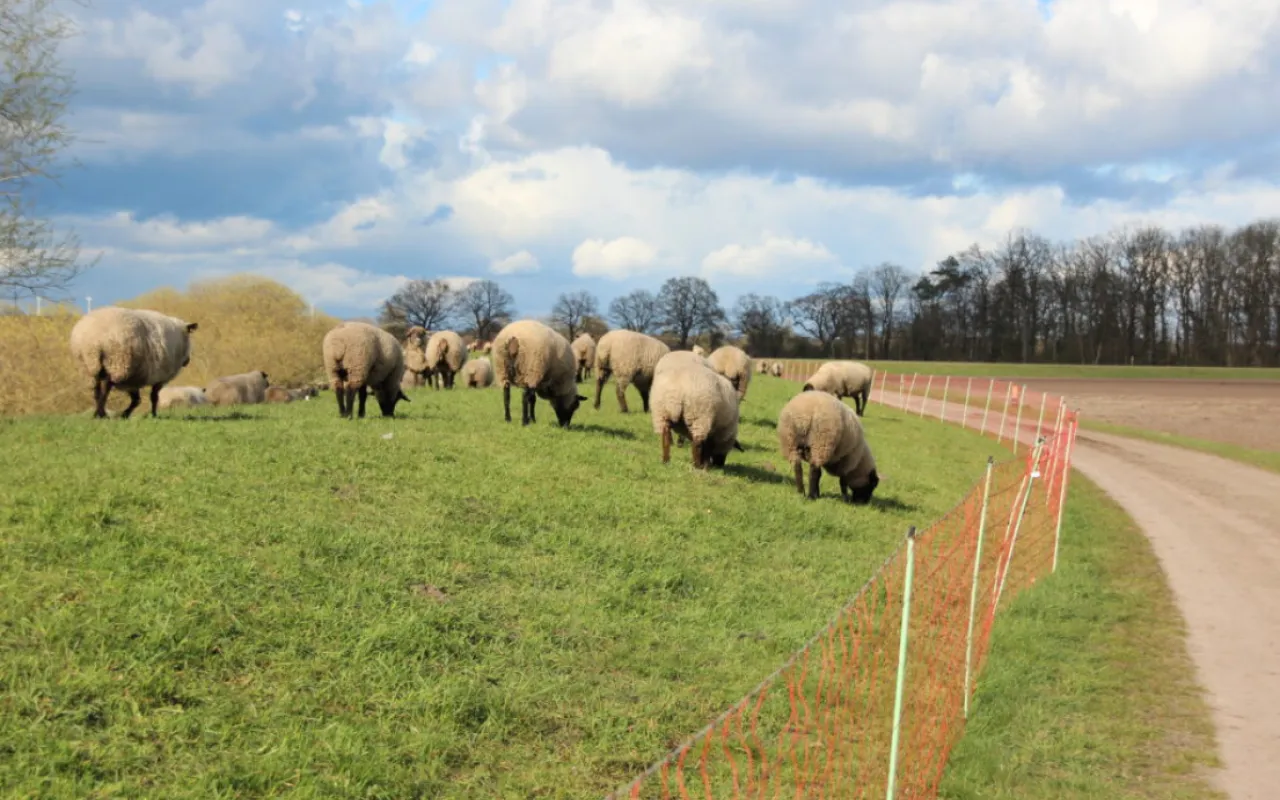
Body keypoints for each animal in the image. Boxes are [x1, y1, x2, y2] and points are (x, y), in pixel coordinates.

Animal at [69, 304, 198, 417]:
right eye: (189, 337)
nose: (187, 361)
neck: (179, 339)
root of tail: (94, 340)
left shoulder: (133, 379)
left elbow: (137, 400)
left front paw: (125, 414)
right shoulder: (159, 377)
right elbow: (153, 397)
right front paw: (153, 414)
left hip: (90, 366)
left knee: (96, 389)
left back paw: (98, 413)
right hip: (116, 362)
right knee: (106, 387)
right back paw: (101, 414)